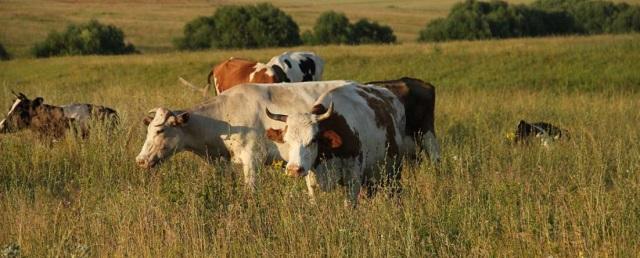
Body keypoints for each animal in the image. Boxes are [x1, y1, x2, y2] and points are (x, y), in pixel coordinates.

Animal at [264, 84, 410, 208]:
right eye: (287, 141)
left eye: (313, 140)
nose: (294, 170)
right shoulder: (312, 182)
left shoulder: (352, 180)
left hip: (394, 171)